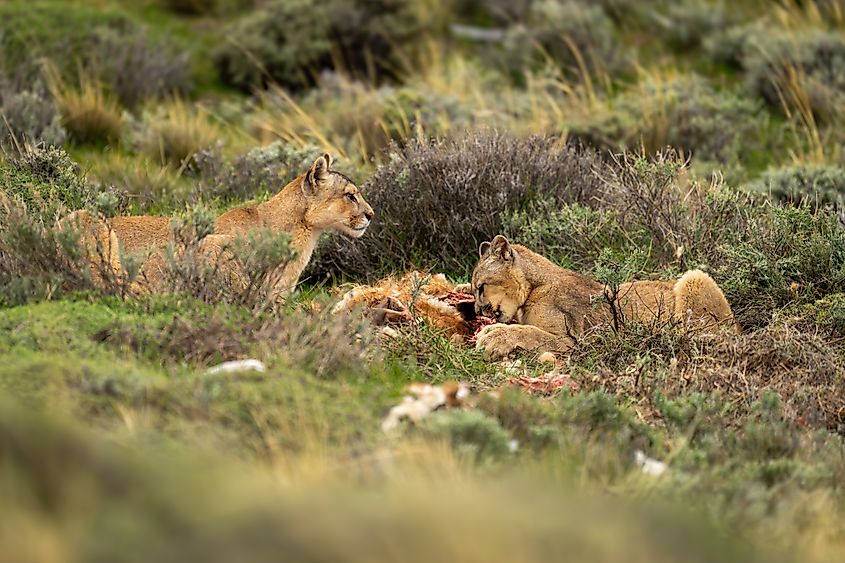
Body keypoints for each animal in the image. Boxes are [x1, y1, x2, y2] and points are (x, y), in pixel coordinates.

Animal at [469, 235, 735, 360]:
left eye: (481, 287)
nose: (478, 311)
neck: (535, 286)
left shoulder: (573, 341)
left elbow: (530, 332)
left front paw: (493, 336)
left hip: (695, 277)